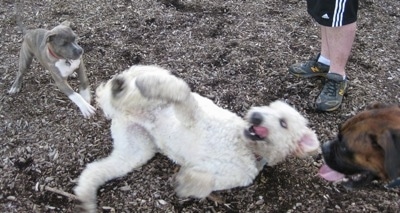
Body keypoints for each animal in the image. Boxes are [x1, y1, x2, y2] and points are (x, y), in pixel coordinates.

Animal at [73, 65, 320, 213]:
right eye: (268, 108)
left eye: (283, 123)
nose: (256, 115)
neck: (243, 146)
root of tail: (119, 110)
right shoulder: (192, 117)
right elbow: (184, 93)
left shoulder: (229, 177)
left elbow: (205, 183)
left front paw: (185, 182)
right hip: (144, 94)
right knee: (157, 86)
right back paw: (125, 87)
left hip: (135, 151)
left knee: (98, 169)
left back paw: (85, 195)